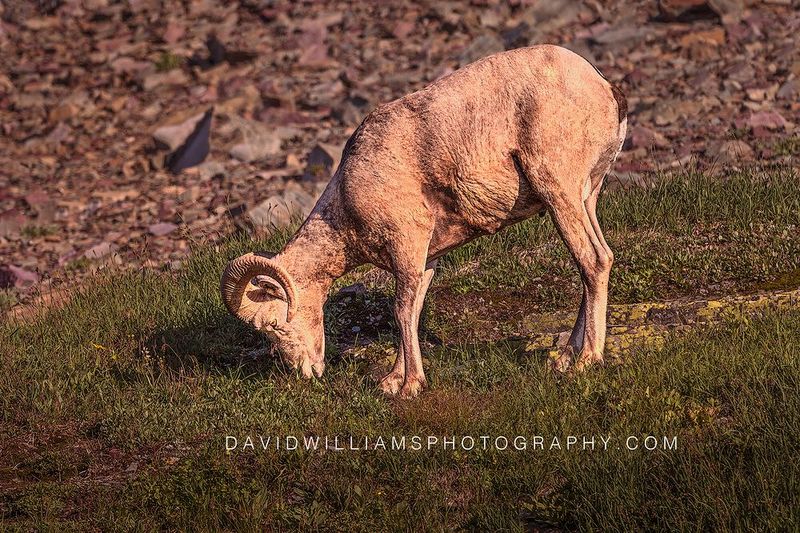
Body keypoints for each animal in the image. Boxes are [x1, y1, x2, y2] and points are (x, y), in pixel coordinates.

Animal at [221, 45, 628, 398]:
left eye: (273, 325)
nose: (304, 371)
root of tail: (604, 89)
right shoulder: (424, 261)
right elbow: (413, 312)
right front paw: (390, 382)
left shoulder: (407, 246)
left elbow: (401, 310)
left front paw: (410, 386)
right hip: (586, 197)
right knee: (599, 261)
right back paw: (564, 359)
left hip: (559, 192)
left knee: (592, 261)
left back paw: (587, 360)